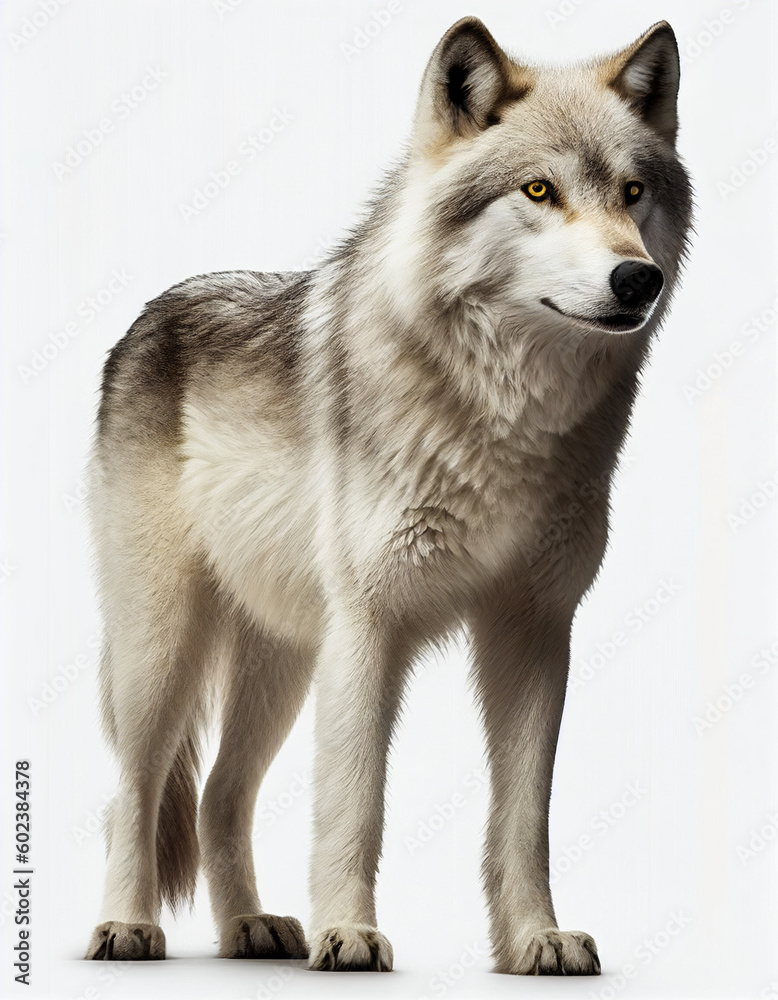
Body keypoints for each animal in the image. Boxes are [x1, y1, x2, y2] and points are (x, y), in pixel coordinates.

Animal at [84, 16, 692, 975]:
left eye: (634, 192)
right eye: (539, 189)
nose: (638, 280)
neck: (506, 416)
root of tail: (150, 313)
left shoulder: (535, 629)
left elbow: (525, 817)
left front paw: (536, 940)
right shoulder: (369, 627)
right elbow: (355, 802)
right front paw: (351, 934)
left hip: (283, 661)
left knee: (221, 792)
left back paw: (252, 928)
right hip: (163, 649)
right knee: (131, 793)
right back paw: (127, 928)